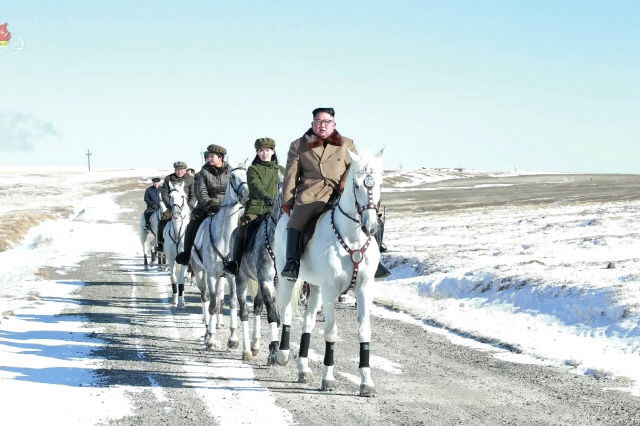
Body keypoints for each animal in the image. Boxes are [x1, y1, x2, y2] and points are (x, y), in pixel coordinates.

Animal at [189, 162, 249, 350]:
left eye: (247, 174)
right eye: (232, 177)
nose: (245, 195)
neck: (224, 237)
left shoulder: (231, 275)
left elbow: (233, 303)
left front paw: (233, 338)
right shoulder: (212, 275)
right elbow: (213, 305)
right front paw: (211, 339)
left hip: (221, 277)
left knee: (219, 298)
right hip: (200, 273)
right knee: (206, 298)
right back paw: (207, 331)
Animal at [274, 149, 382, 396]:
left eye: (380, 183)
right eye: (357, 185)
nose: (371, 227)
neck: (353, 238)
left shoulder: (364, 290)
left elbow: (364, 331)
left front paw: (366, 382)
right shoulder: (331, 291)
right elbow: (331, 332)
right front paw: (329, 378)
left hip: (315, 287)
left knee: (308, 323)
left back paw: (303, 368)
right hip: (288, 279)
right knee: (285, 312)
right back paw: (282, 354)